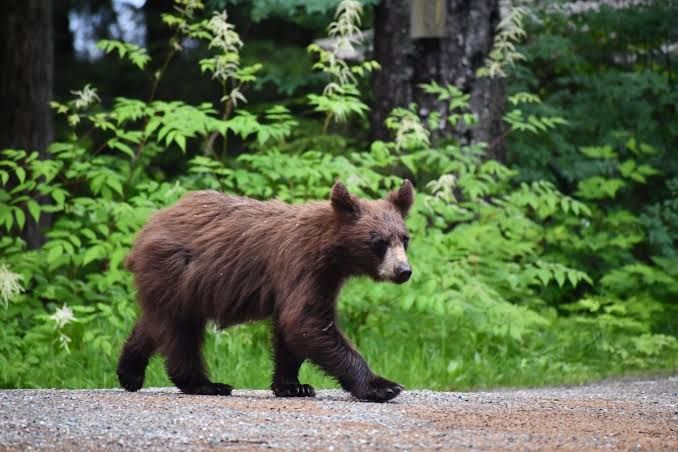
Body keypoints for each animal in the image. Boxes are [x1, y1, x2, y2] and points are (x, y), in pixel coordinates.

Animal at [117, 179, 414, 402]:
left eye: (404, 238)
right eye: (379, 241)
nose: (403, 271)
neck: (331, 252)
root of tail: (147, 227)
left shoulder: (322, 279)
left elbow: (292, 326)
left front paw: (293, 385)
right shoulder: (301, 265)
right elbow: (306, 321)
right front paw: (383, 385)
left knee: (155, 324)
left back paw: (129, 372)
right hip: (178, 274)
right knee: (180, 333)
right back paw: (206, 384)